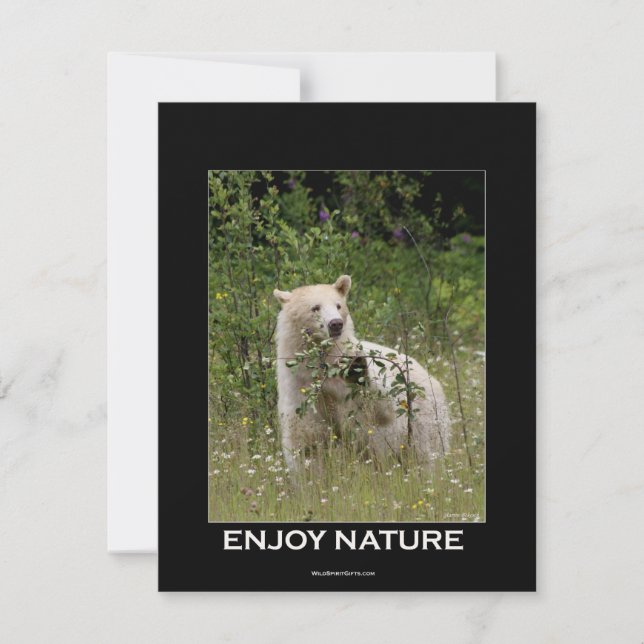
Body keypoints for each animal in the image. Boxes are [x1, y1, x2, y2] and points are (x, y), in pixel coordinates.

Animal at [273, 274, 451, 474]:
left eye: (338, 305)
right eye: (315, 307)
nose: (336, 324)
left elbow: (376, 411)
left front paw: (355, 371)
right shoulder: (299, 391)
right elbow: (308, 444)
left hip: (423, 420)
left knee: (427, 455)